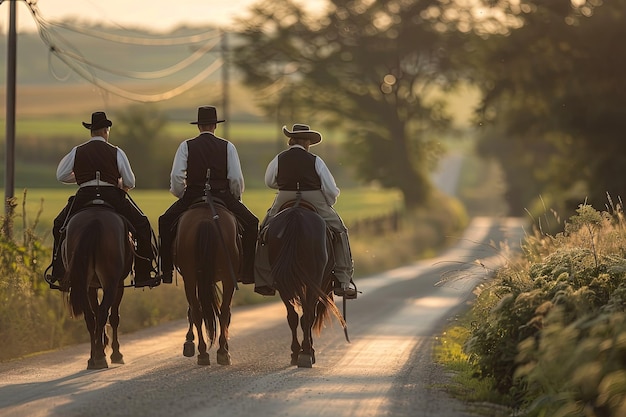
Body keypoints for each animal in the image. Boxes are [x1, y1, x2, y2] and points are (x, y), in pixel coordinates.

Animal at [62, 206, 132, 368]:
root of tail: (94, 222)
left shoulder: (91, 287)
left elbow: (95, 311)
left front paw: (101, 344)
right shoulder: (118, 284)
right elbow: (113, 317)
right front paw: (116, 353)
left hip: (83, 284)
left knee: (90, 317)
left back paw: (93, 358)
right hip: (111, 282)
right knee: (103, 313)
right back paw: (101, 357)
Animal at [174, 201, 240, 364]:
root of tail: (205, 220)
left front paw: (189, 341)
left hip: (190, 277)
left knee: (198, 311)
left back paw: (203, 352)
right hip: (227, 277)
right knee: (224, 311)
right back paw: (221, 351)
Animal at [262, 202, 344, 368]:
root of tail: (296, 216)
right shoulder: (320, 283)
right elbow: (309, 315)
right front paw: (310, 350)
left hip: (283, 283)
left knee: (292, 316)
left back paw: (296, 352)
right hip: (315, 278)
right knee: (307, 315)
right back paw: (306, 353)